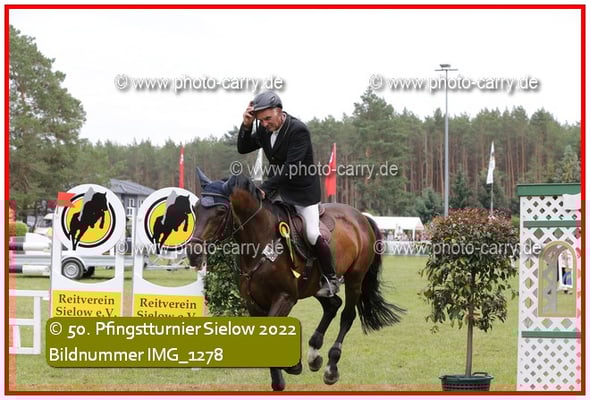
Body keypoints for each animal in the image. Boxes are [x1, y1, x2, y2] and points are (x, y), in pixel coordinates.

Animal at [187, 172, 405, 391]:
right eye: (195, 208)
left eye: (221, 211)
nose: (193, 253)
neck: (262, 242)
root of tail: (361, 216)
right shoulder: (253, 302)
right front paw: (287, 370)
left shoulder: (285, 297)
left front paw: (286, 372)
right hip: (315, 285)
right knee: (333, 305)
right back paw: (314, 354)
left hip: (354, 279)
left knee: (347, 315)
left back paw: (331, 367)